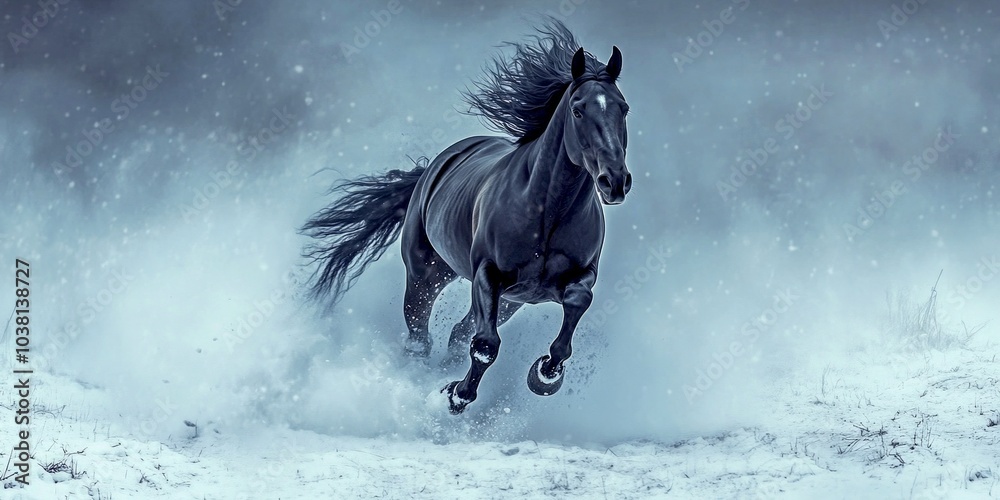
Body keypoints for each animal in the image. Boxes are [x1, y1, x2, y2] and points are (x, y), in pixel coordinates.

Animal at [302, 21, 631, 414]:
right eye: (578, 110)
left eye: (624, 108)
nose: (614, 181)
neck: (547, 214)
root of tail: (436, 165)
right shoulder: (487, 275)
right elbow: (486, 346)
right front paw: (457, 395)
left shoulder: (576, 277)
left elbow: (573, 310)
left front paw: (545, 375)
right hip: (426, 274)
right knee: (420, 335)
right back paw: (420, 381)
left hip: (509, 300)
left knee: (456, 335)